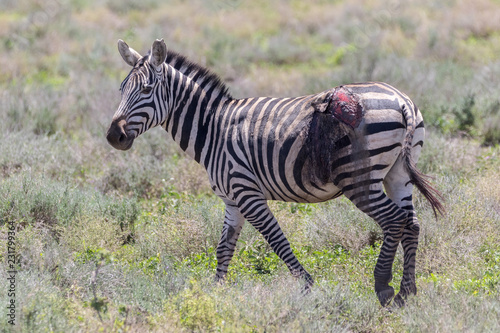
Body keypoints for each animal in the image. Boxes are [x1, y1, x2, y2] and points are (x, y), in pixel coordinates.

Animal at [105, 39, 442, 306]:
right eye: (121, 89)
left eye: (147, 89)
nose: (113, 136)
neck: (213, 128)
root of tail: (401, 101)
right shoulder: (232, 200)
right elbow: (223, 248)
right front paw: (215, 294)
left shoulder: (247, 192)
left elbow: (276, 240)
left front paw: (307, 286)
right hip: (398, 174)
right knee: (411, 223)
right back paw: (407, 291)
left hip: (359, 178)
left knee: (394, 221)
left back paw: (383, 287)